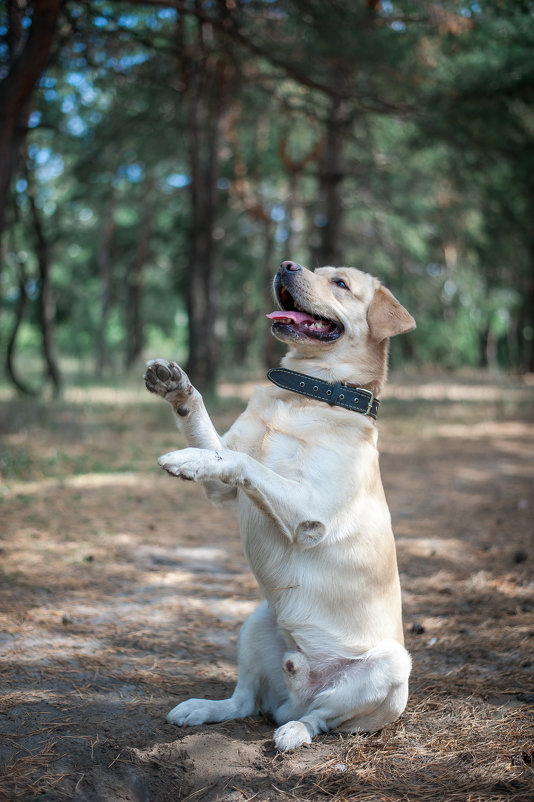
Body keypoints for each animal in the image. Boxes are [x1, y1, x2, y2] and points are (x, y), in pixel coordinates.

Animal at [147, 260, 418, 748]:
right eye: (315, 268)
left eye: (341, 283)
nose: (287, 264)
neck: (307, 391)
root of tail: (295, 694)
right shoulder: (226, 490)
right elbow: (214, 436)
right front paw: (177, 387)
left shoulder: (310, 514)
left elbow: (241, 461)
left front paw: (190, 459)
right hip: (256, 620)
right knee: (243, 702)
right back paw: (202, 709)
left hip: (390, 665)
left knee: (323, 717)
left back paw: (294, 732)